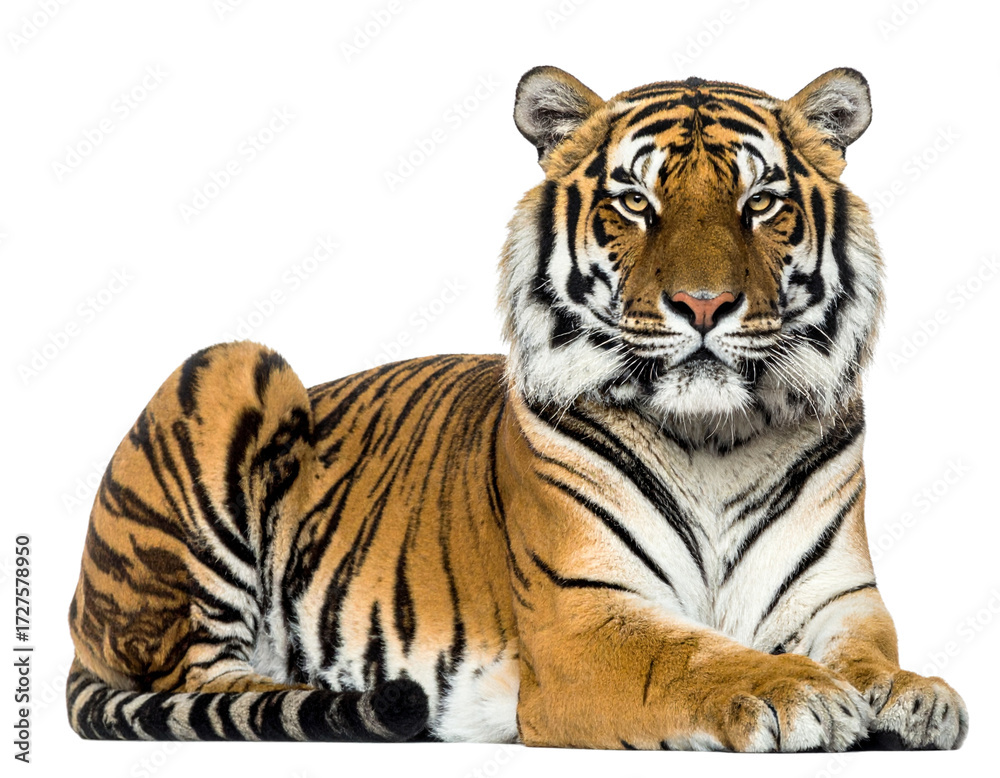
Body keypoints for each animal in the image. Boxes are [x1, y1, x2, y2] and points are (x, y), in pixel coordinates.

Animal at [67, 66, 968, 751]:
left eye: (761, 205)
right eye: (635, 203)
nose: (703, 305)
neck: (716, 437)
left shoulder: (840, 601)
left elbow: (873, 658)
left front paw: (913, 694)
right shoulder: (581, 616)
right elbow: (696, 659)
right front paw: (797, 692)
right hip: (236, 368)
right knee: (200, 679)